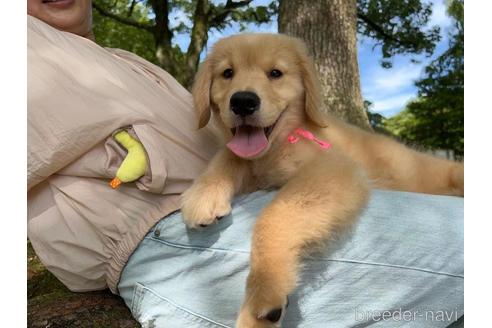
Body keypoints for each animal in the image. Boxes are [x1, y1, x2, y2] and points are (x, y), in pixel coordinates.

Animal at [180, 34, 462, 328]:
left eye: (275, 73)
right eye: (227, 73)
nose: (243, 102)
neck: (280, 143)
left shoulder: (332, 168)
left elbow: (274, 215)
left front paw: (263, 293)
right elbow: (230, 154)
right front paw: (204, 193)